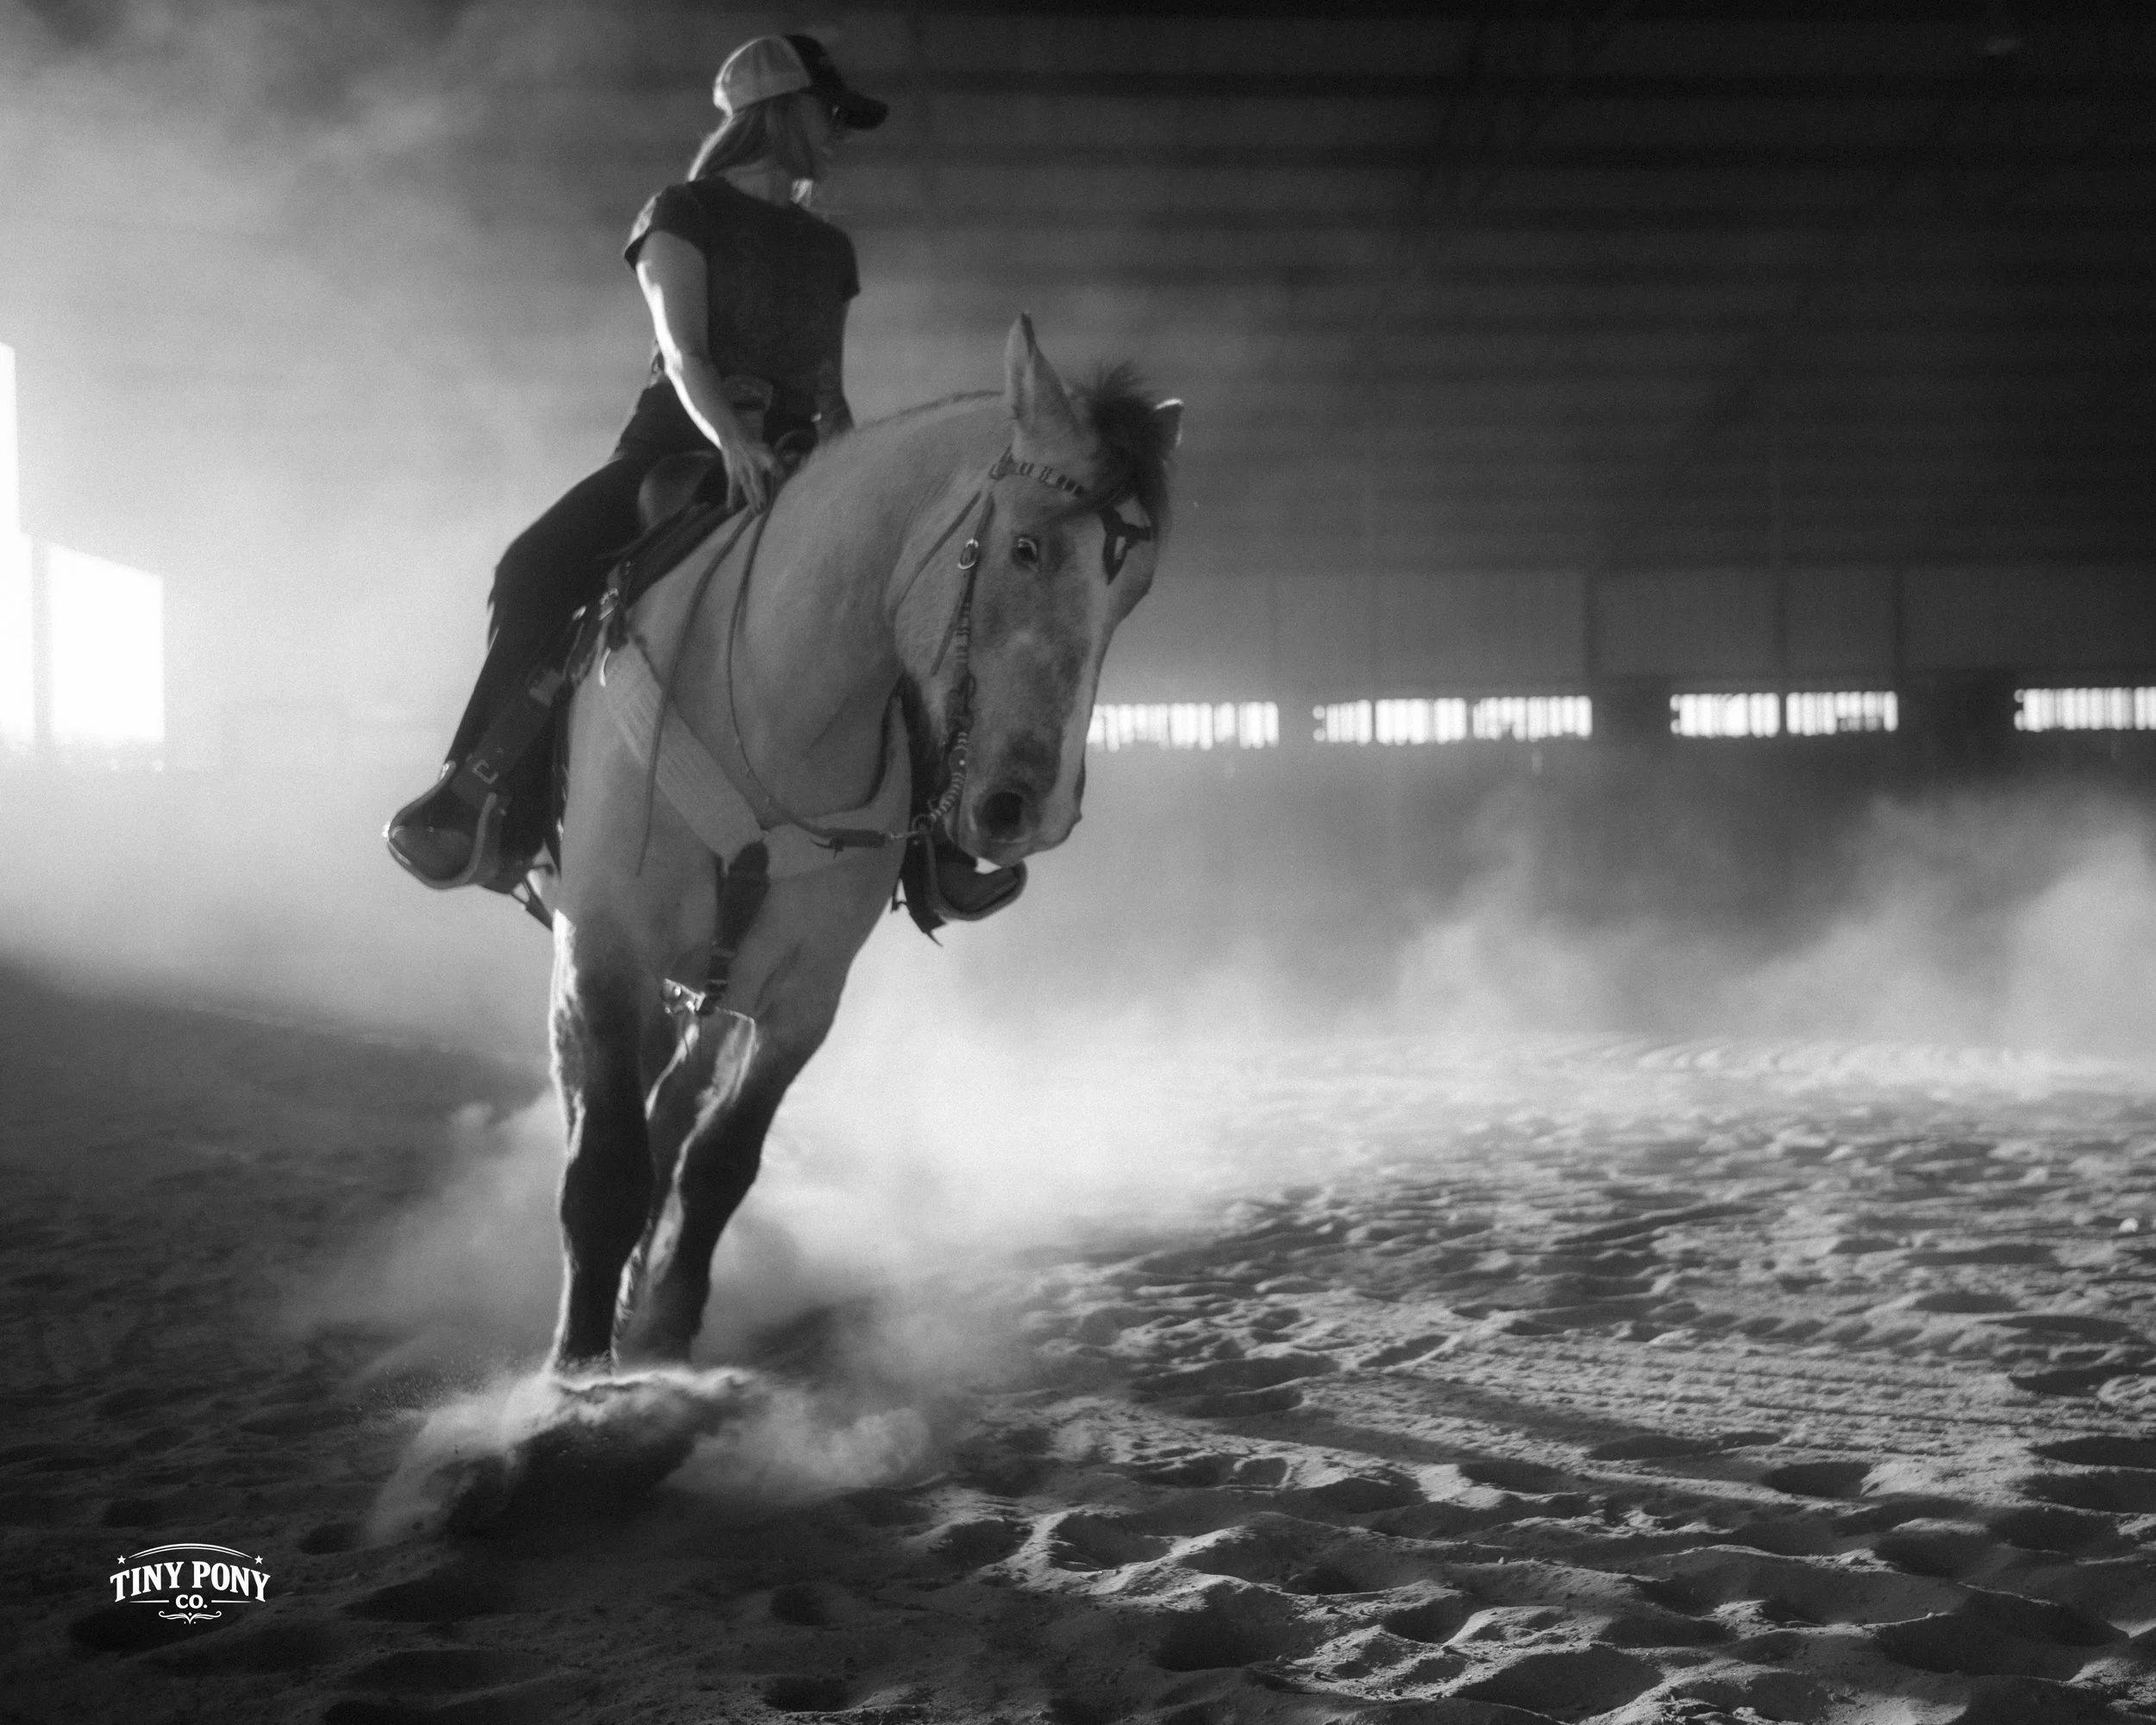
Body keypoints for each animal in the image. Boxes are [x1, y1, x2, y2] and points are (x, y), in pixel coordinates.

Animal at [543, 316, 1180, 1375]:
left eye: (1134, 588)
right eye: (1025, 547)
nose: (1030, 809)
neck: (773, 696)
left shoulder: (803, 995)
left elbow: (719, 1159)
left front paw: (668, 1334)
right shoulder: (608, 946)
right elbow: (603, 1168)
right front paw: (576, 1373)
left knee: (672, 1109)